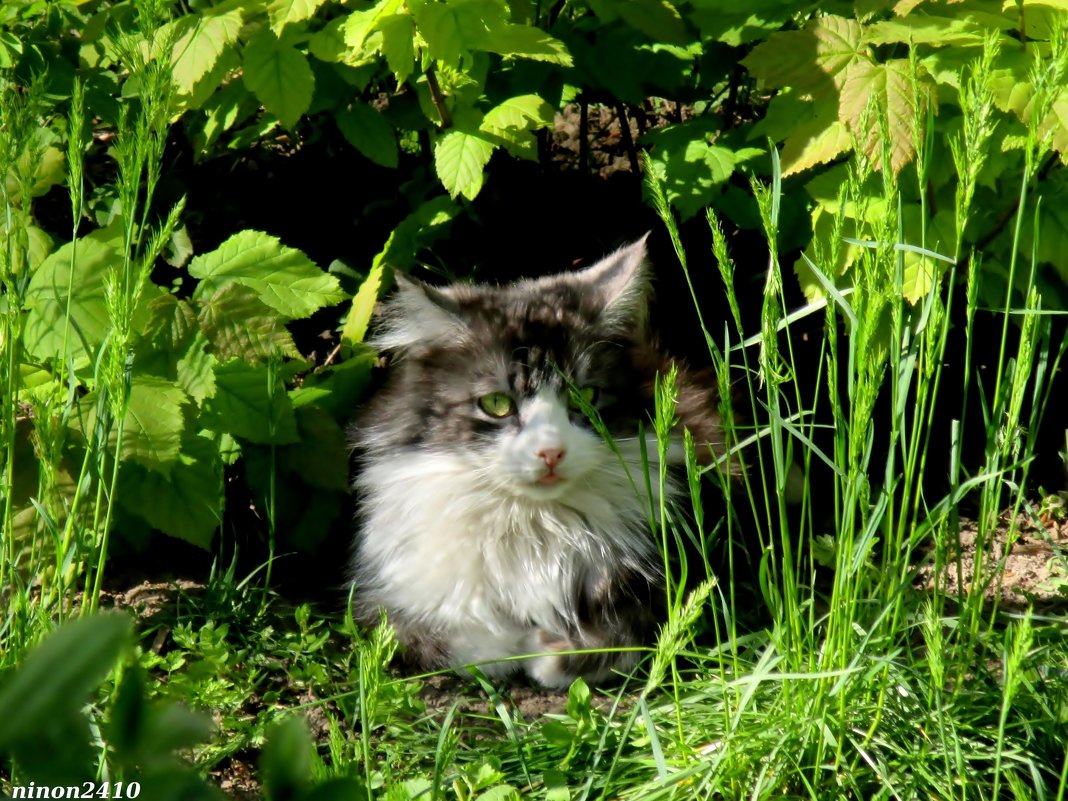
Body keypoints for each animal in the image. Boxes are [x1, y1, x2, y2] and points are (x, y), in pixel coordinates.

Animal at [348, 237, 726, 692]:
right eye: (496, 404)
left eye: (586, 397)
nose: (550, 452)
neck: (532, 519)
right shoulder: (380, 604)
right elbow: (458, 642)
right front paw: (516, 644)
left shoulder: (683, 577)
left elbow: (624, 636)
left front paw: (549, 652)